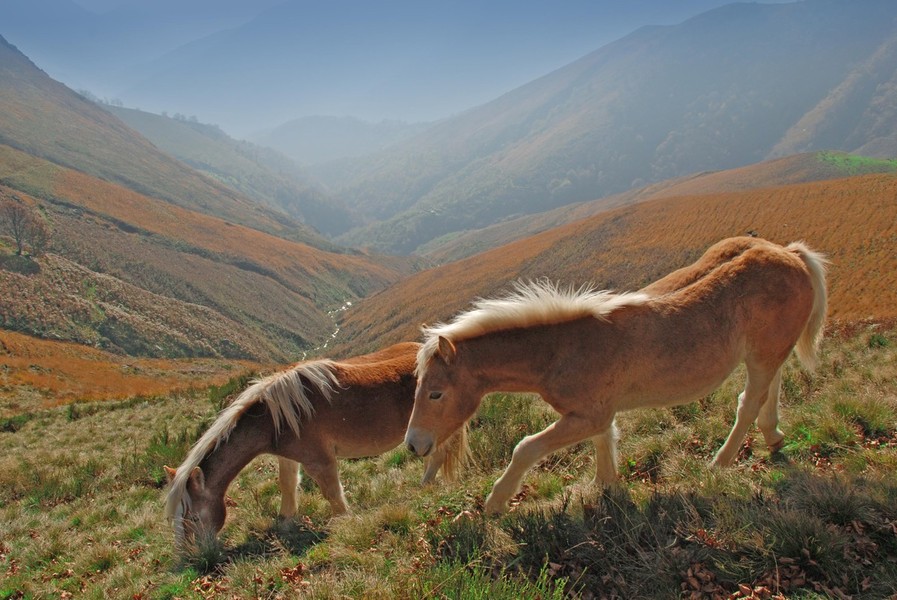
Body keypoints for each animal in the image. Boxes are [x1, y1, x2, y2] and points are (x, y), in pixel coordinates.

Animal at [164, 340, 468, 548]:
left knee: (438, 455)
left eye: (193, 518)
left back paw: (424, 485)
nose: (191, 556)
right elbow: (287, 485)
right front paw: (286, 520)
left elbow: (333, 494)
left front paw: (345, 523)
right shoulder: (288, 457)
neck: (276, 417)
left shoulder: (319, 461)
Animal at [406, 237, 824, 512]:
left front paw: (495, 503)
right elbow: (605, 440)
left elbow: (526, 447)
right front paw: (606, 489)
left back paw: (720, 463)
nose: (413, 445)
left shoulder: (587, 415)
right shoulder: (595, 413)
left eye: (436, 393)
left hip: (762, 357)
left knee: (748, 403)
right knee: (770, 388)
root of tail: (790, 253)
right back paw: (773, 437)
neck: (563, 347)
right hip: (766, 353)